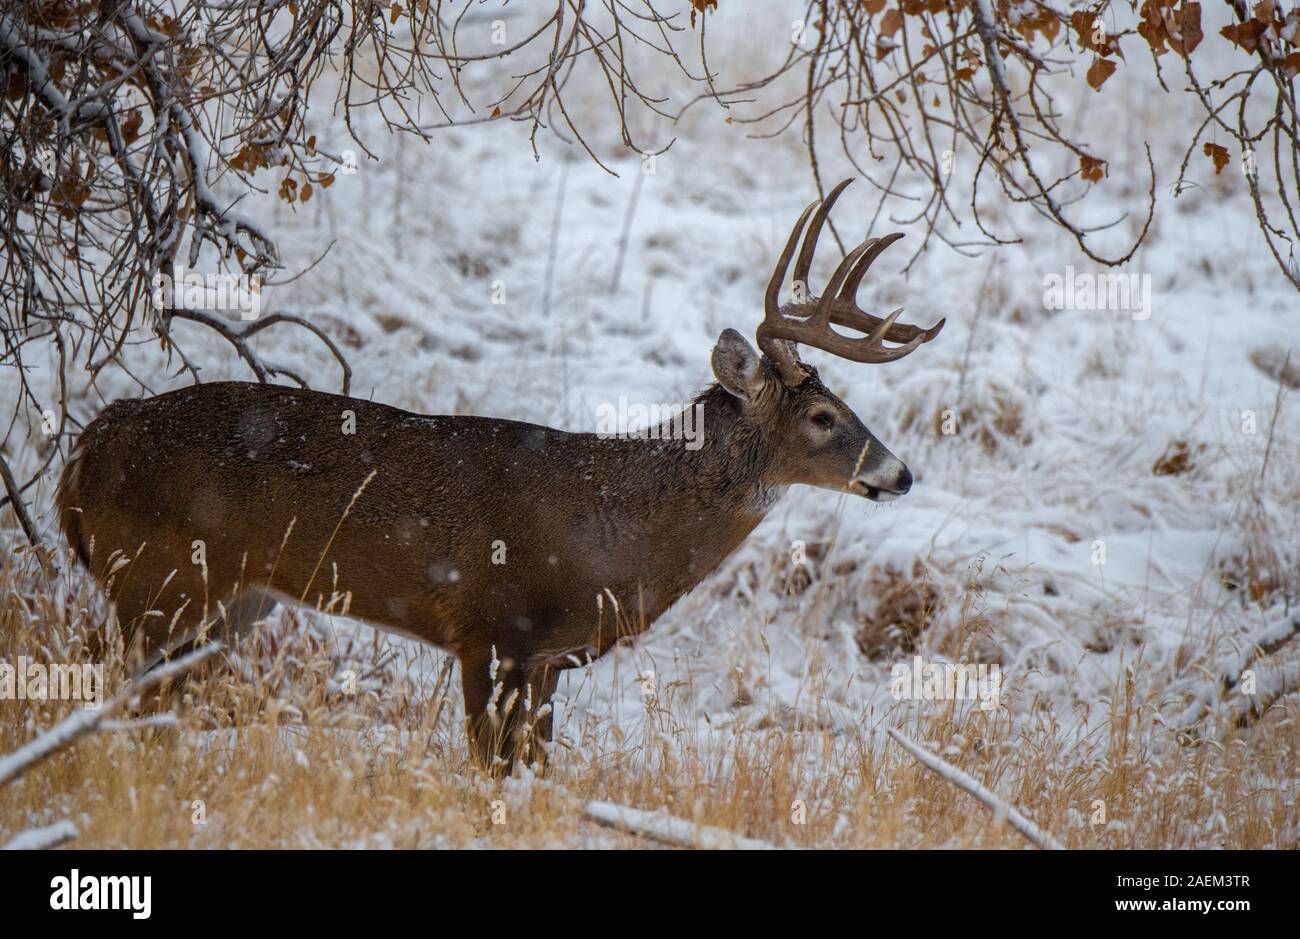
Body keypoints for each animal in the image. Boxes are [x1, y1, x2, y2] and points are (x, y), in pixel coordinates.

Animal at [56, 178, 944, 772]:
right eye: (823, 417)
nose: (901, 474)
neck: (611, 532)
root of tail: (81, 455)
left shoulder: (547, 657)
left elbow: (536, 766)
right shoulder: (487, 627)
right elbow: (490, 765)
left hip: (230, 601)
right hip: (154, 578)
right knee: (108, 693)